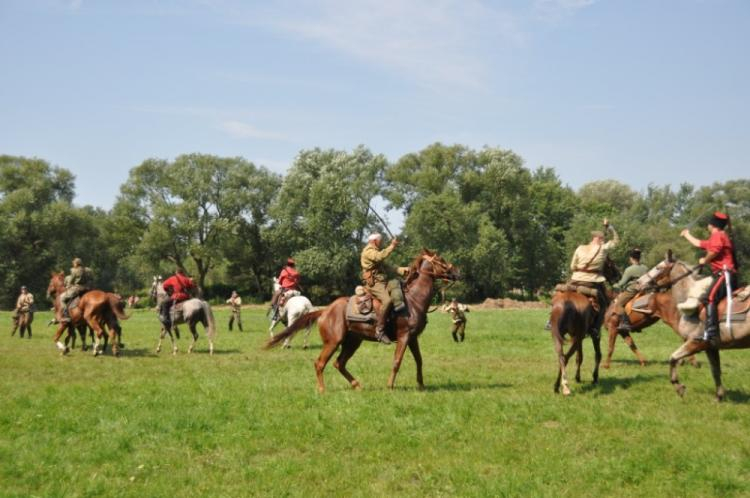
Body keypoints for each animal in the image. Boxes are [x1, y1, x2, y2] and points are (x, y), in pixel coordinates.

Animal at [268, 249, 462, 392]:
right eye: (441, 260)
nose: (457, 272)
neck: (413, 300)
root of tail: (325, 311)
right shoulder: (404, 336)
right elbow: (397, 361)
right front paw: (390, 386)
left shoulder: (413, 338)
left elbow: (419, 360)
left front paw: (421, 385)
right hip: (333, 342)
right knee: (320, 363)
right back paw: (322, 389)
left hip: (352, 342)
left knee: (339, 363)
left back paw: (356, 385)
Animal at [668, 260, 750, 400]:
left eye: (658, 268)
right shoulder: (710, 347)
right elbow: (715, 370)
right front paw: (719, 396)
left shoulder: (695, 343)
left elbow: (673, 358)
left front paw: (678, 387)